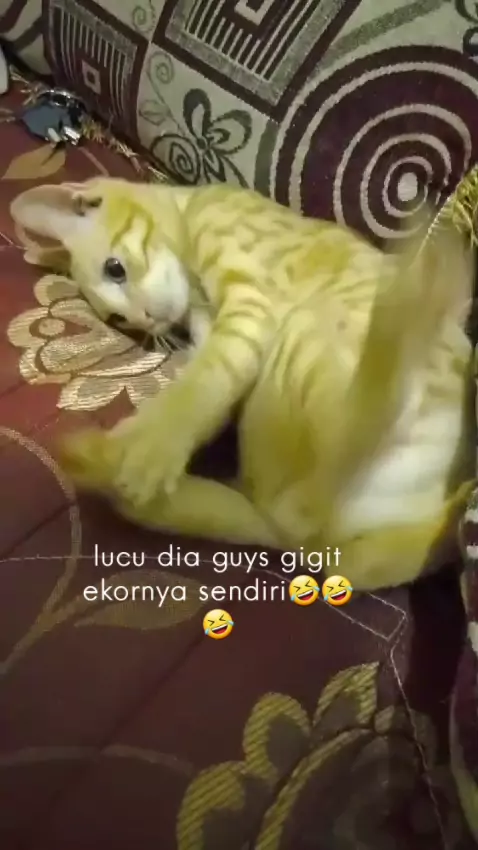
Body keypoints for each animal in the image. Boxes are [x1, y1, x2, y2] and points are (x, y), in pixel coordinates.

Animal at [11, 178, 475, 590]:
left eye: (115, 269)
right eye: (118, 320)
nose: (147, 320)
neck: (189, 206)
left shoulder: (250, 305)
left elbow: (201, 384)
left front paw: (151, 442)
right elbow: (208, 383)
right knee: (334, 522)